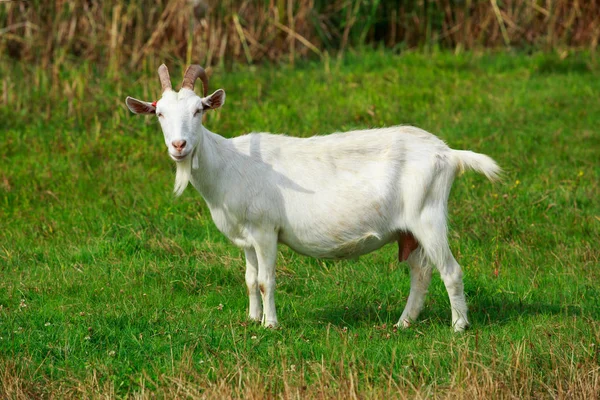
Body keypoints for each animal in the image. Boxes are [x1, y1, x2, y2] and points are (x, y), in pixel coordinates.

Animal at [126, 65, 502, 332]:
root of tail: (448, 153)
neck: (229, 163)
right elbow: (249, 280)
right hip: (408, 229)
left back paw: (458, 327)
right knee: (420, 273)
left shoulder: (265, 230)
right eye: (159, 113)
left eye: (198, 111)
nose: (179, 146)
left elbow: (265, 281)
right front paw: (251, 320)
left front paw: (270, 325)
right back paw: (403, 323)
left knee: (451, 270)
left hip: (429, 216)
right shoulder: (245, 237)